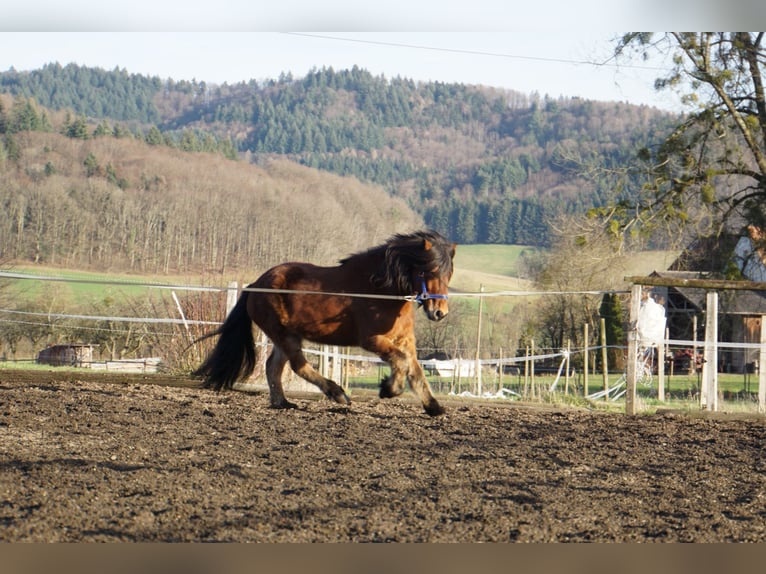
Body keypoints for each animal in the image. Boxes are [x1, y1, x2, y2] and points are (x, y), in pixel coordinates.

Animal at [195, 231, 456, 418]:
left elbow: (416, 370)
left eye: (448, 274)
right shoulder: (372, 340)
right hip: (284, 335)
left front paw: (434, 407)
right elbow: (401, 362)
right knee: (298, 366)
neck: (381, 290)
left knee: (273, 367)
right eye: (430, 271)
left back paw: (283, 403)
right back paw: (337, 393)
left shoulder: (405, 340)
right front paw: (388, 389)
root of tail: (256, 285)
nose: (440, 312)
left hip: (285, 336)